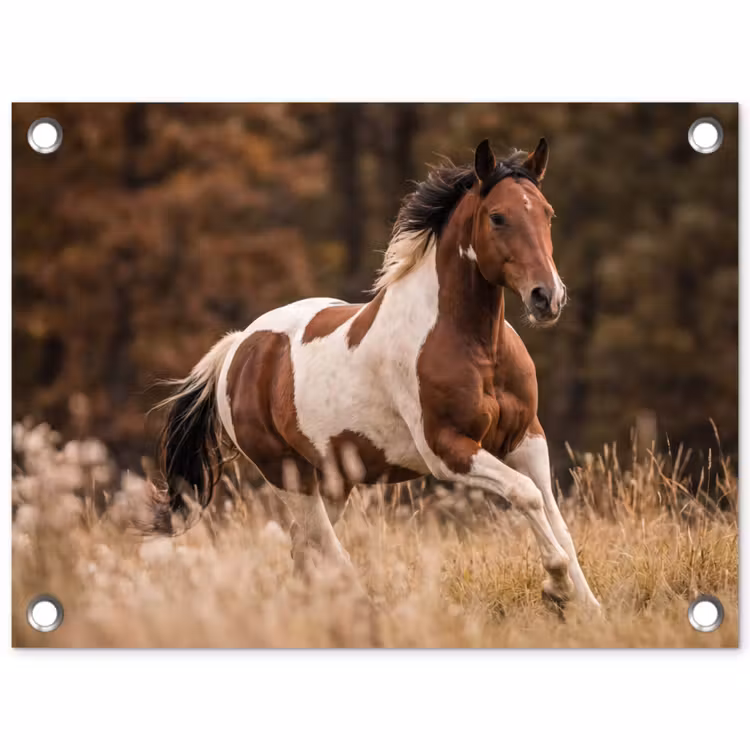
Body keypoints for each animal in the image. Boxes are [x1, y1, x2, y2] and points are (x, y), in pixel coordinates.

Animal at [151, 137, 601, 613]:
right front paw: (556, 587)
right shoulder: (448, 451)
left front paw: (588, 607)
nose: (547, 297)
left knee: (304, 548)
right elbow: (525, 495)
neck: (477, 347)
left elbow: (555, 517)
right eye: (498, 217)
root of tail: (238, 347)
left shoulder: (526, 439)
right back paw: (365, 607)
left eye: (547, 213)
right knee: (325, 548)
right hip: (287, 473)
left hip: (333, 479)